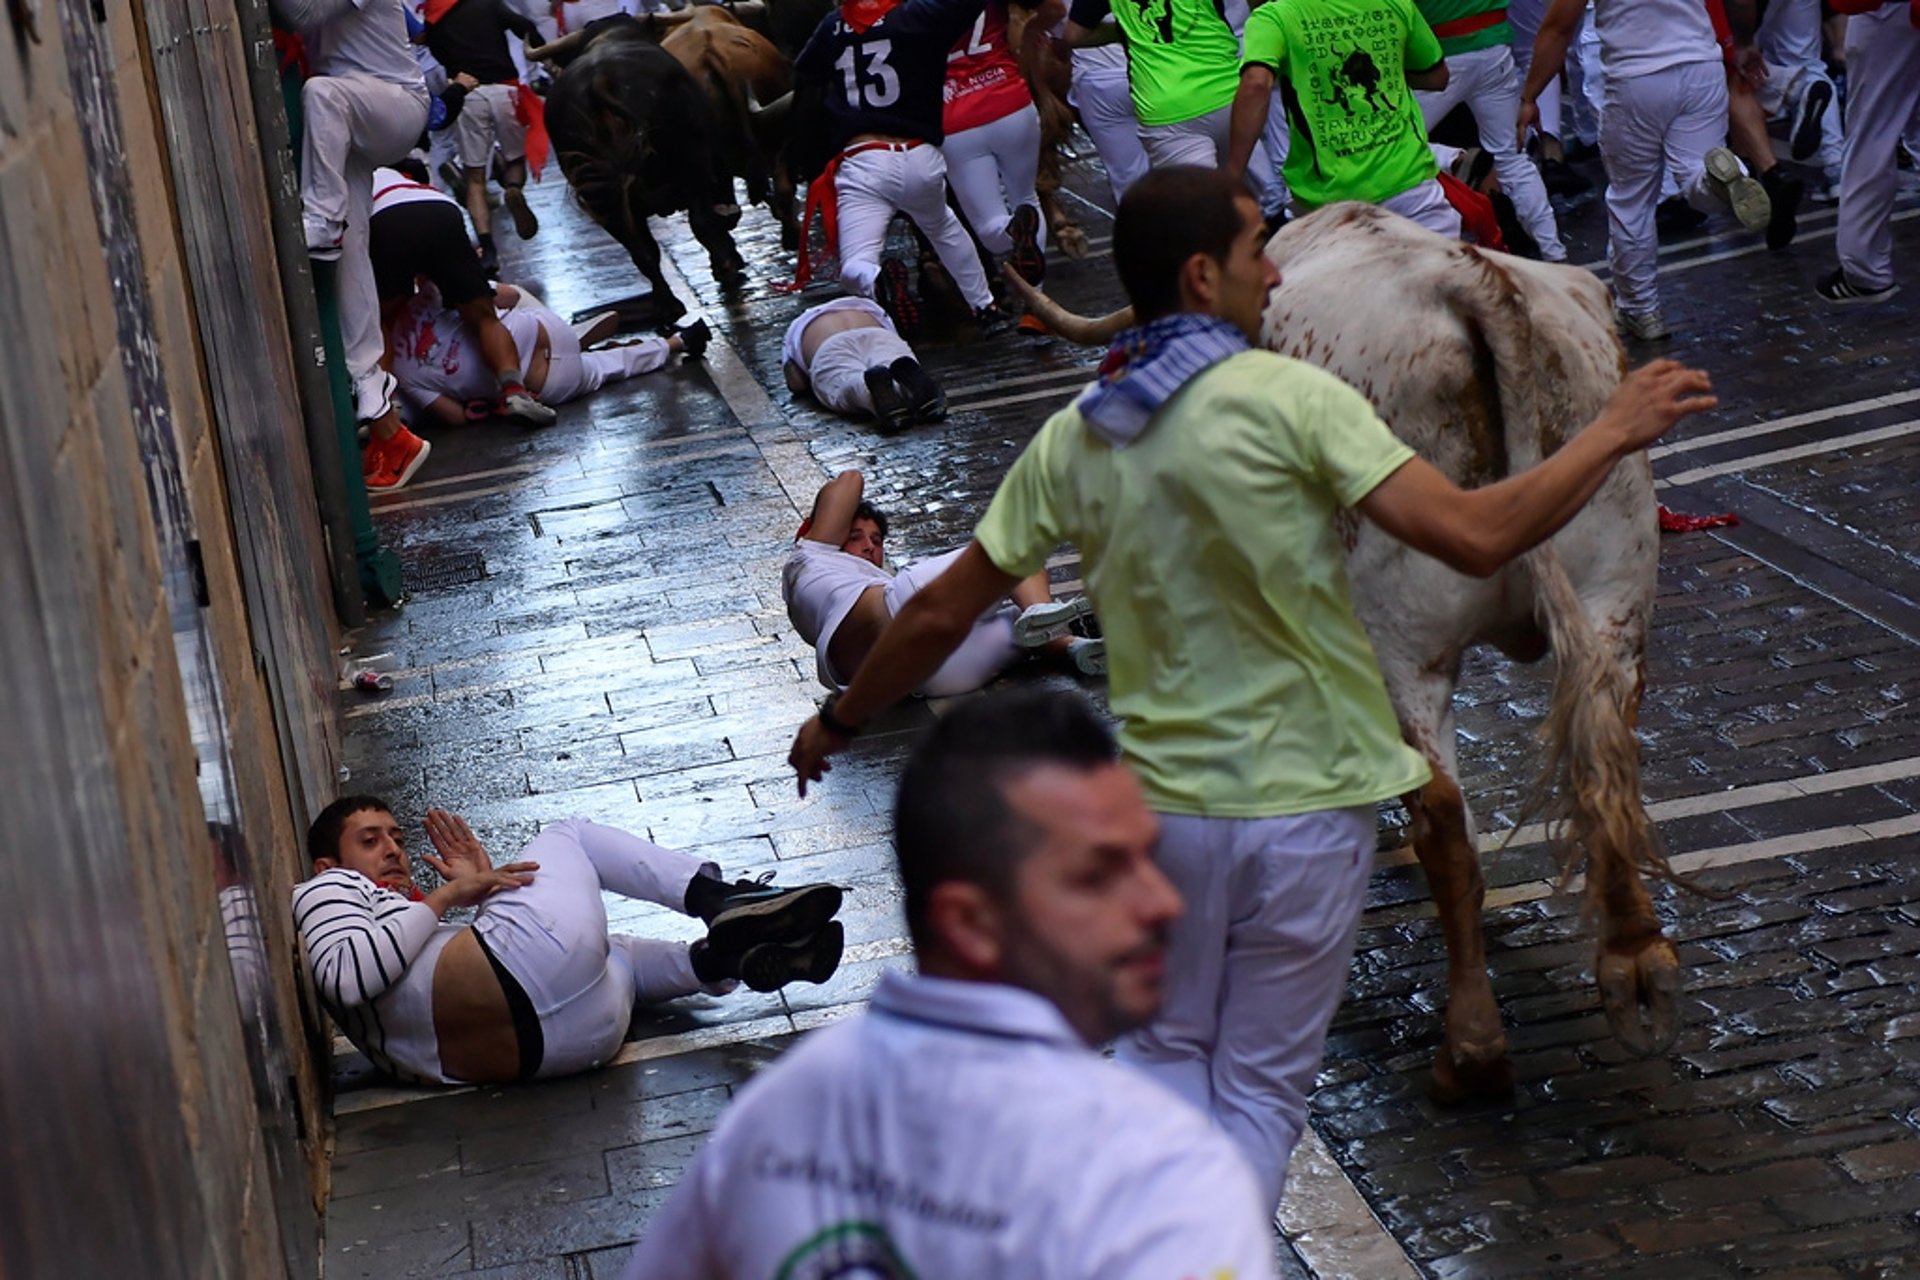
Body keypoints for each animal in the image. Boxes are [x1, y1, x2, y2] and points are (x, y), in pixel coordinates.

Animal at [549, 31, 748, 320]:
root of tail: (599, 79)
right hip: (691, 161)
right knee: (700, 222)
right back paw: (723, 268)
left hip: (600, 197)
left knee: (641, 250)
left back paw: (667, 304)